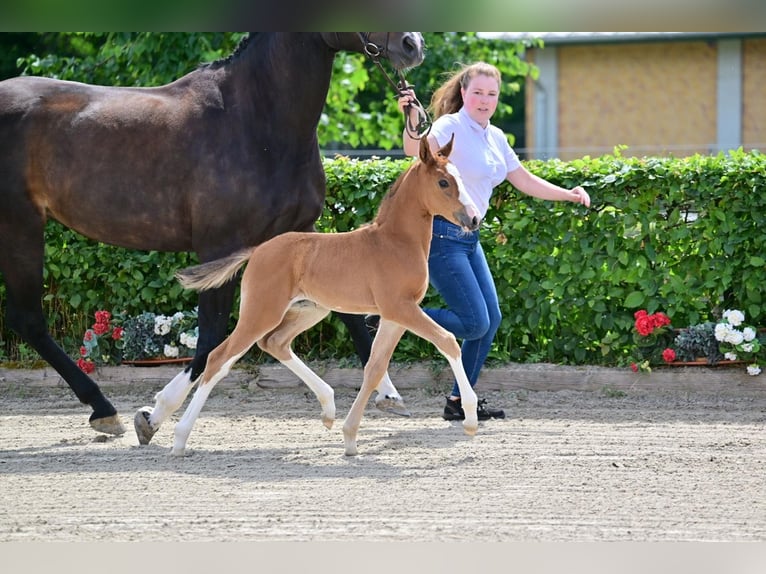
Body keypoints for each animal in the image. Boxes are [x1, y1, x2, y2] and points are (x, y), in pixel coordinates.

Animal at [0, 32, 426, 436]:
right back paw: (104, 410)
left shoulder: (298, 232)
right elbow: (209, 338)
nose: (413, 45)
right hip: (21, 224)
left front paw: (388, 394)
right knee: (28, 319)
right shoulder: (219, 245)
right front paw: (155, 414)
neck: (256, 119)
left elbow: (350, 316)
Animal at [148, 136, 480, 460]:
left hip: (309, 311)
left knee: (274, 343)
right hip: (261, 313)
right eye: (443, 182)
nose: (474, 219)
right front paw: (470, 418)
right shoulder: (401, 308)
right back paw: (179, 438)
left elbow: (374, 368)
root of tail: (257, 250)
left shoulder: (394, 315)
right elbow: (447, 341)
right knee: (219, 358)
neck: (395, 242)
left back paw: (329, 408)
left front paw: (350, 437)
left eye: (461, 178)